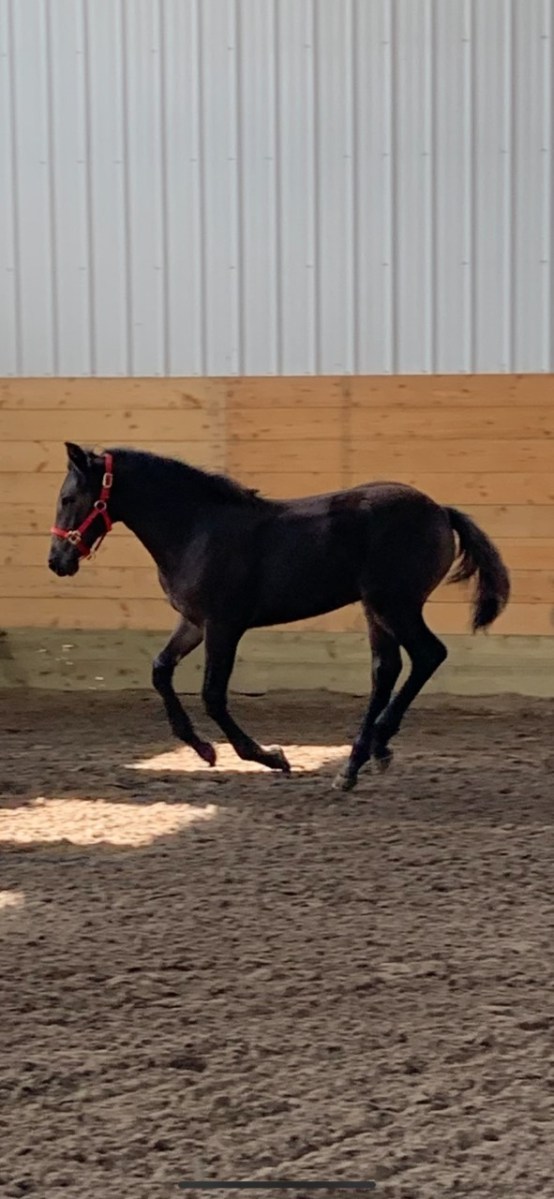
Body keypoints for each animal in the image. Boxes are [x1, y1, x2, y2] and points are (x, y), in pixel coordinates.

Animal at [49, 442, 510, 790]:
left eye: (68, 498)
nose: (57, 561)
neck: (197, 528)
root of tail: (440, 511)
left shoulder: (223, 626)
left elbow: (213, 694)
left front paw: (269, 756)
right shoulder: (194, 622)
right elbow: (161, 670)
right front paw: (203, 749)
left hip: (395, 605)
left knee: (428, 655)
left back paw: (369, 751)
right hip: (376, 609)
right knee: (387, 668)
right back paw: (360, 761)